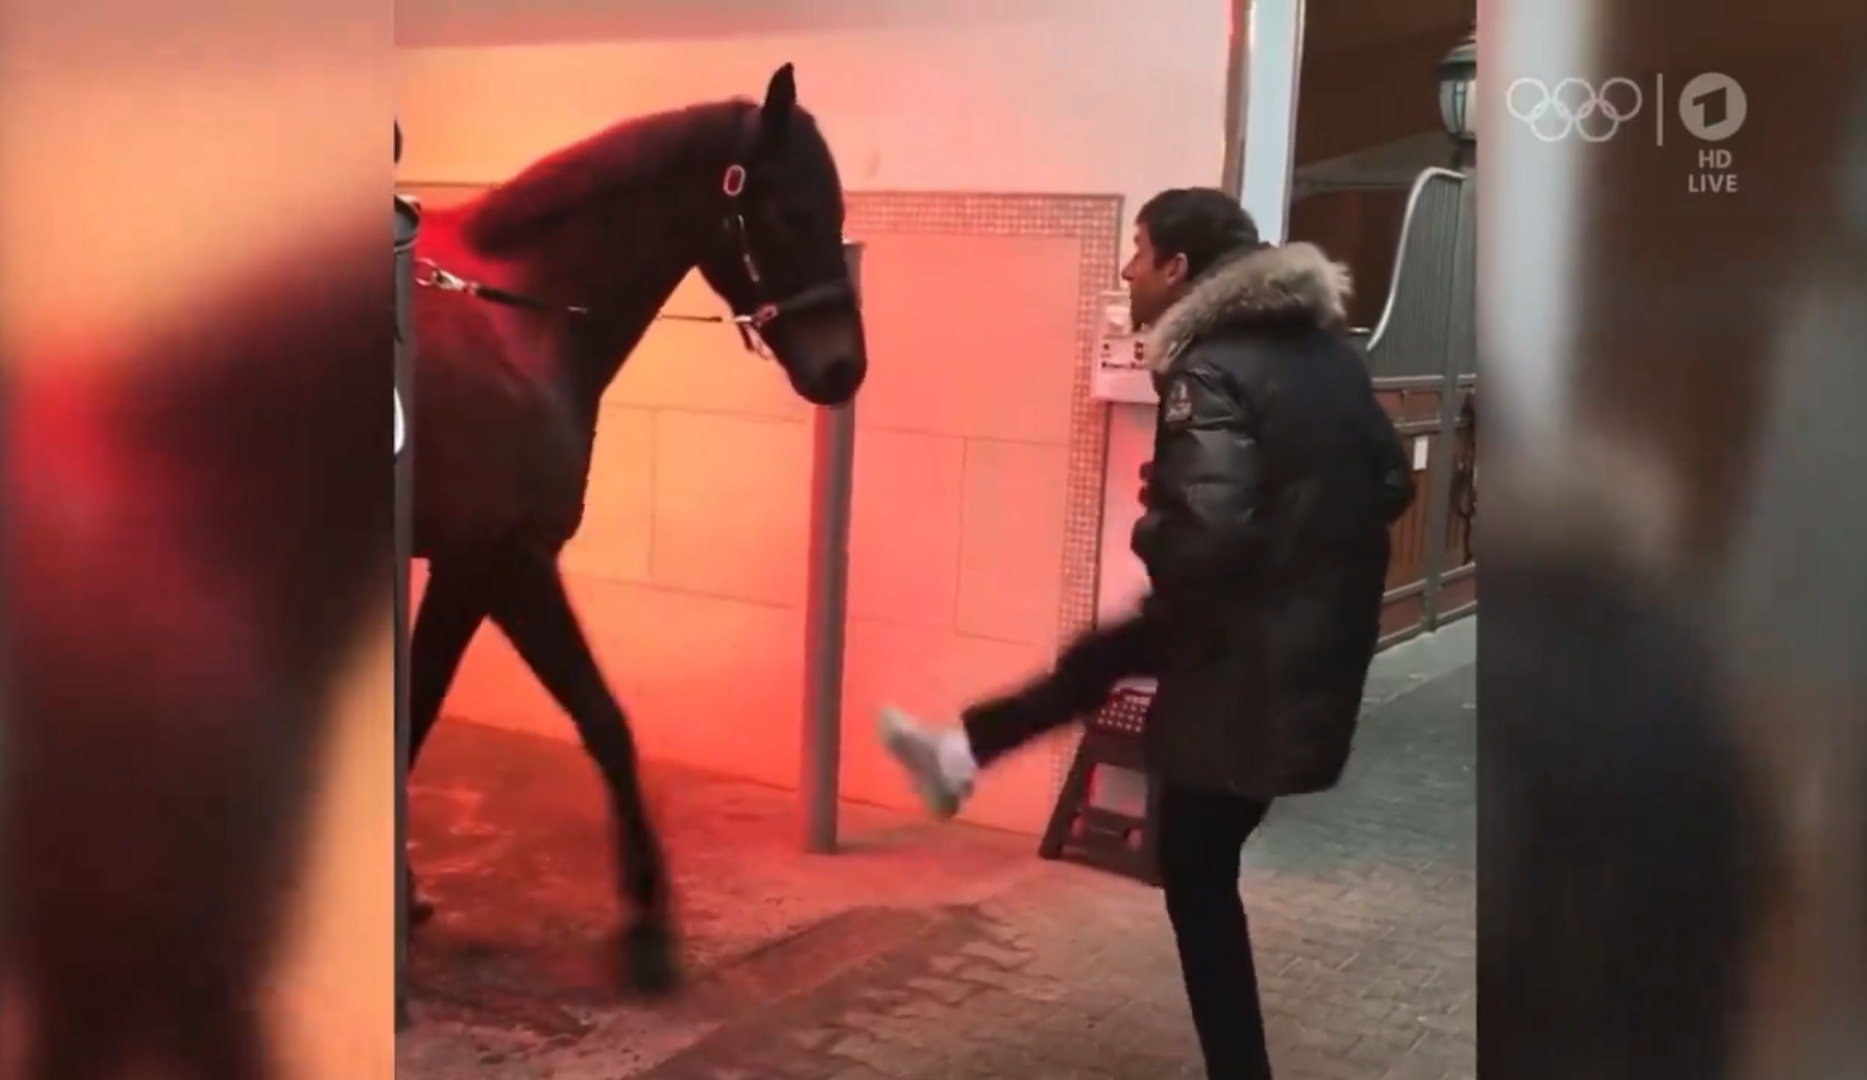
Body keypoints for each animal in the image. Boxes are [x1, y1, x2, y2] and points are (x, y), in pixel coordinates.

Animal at [403, 60, 866, 994]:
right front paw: (649, 927)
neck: (519, 311)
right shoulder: (501, 564)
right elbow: (601, 723)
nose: (846, 369)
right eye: (793, 212)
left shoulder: (463, 571)